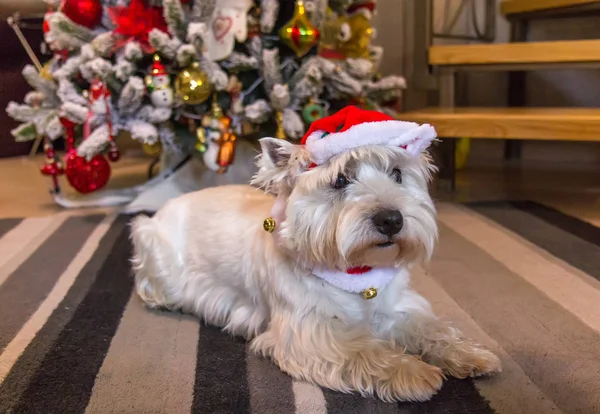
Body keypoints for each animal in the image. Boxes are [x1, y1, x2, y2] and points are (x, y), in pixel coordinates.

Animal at [131, 106, 502, 402]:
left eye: (397, 173)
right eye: (339, 180)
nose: (391, 220)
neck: (356, 271)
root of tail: (167, 203)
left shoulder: (397, 308)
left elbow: (431, 327)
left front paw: (470, 354)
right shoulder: (309, 332)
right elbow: (364, 350)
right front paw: (414, 373)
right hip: (159, 257)